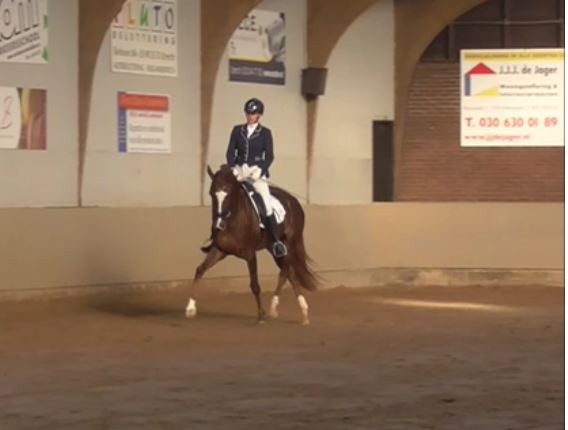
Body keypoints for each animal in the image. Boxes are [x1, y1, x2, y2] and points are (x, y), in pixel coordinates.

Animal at [185, 164, 319, 325]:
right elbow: (200, 270)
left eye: (229, 194)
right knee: (289, 273)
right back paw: (299, 313)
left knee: (286, 272)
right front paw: (190, 308)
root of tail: (294, 201)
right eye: (211, 194)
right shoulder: (220, 250)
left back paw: (279, 308)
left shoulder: (250, 254)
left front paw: (261, 315)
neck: (233, 219)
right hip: (274, 248)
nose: (218, 224)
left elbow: (255, 285)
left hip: (290, 244)